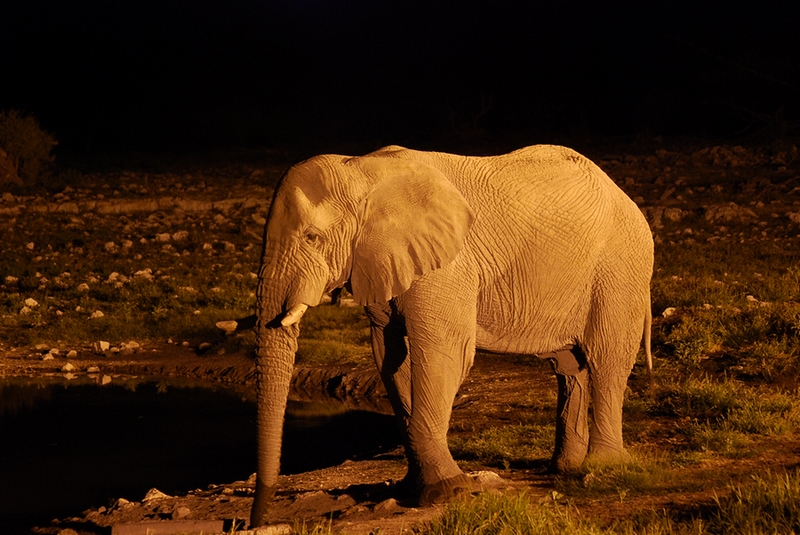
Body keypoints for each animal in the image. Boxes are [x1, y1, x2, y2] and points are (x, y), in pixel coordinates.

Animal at [252, 142, 656, 528]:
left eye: (312, 237)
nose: (257, 515)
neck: (360, 170)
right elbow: (390, 357)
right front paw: (414, 489)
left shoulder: (449, 265)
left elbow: (444, 352)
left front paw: (445, 491)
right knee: (570, 368)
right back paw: (565, 468)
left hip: (621, 267)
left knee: (606, 360)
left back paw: (603, 467)